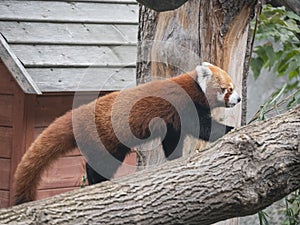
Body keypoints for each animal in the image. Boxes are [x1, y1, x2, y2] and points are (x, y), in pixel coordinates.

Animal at [14, 62, 240, 205]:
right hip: (105, 138)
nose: (238, 99)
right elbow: (204, 128)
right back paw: (98, 181)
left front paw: (174, 159)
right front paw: (231, 128)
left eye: (233, 87)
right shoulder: (185, 106)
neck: (195, 87)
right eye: (227, 89)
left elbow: (173, 140)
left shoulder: (173, 123)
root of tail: (78, 113)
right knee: (99, 163)